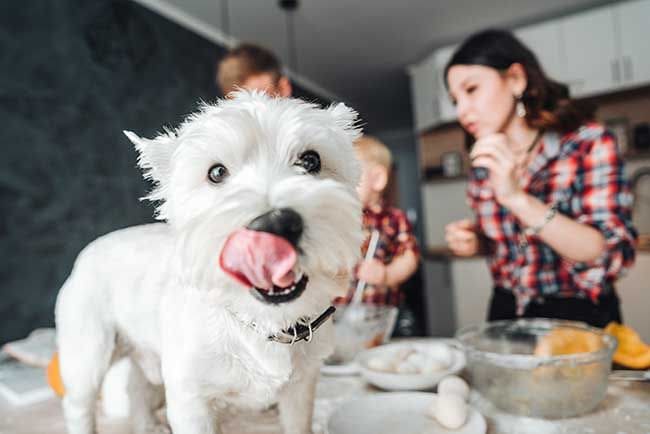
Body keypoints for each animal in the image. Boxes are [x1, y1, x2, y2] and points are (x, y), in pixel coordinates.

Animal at [53, 91, 362, 434]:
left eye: (311, 160)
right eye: (216, 173)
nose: (276, 224)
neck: (261, 321)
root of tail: (86, 252)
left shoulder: (301, 389)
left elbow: (298, 423)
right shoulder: (191, 400)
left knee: (137, 385)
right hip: (88, 352)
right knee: (79, 403)